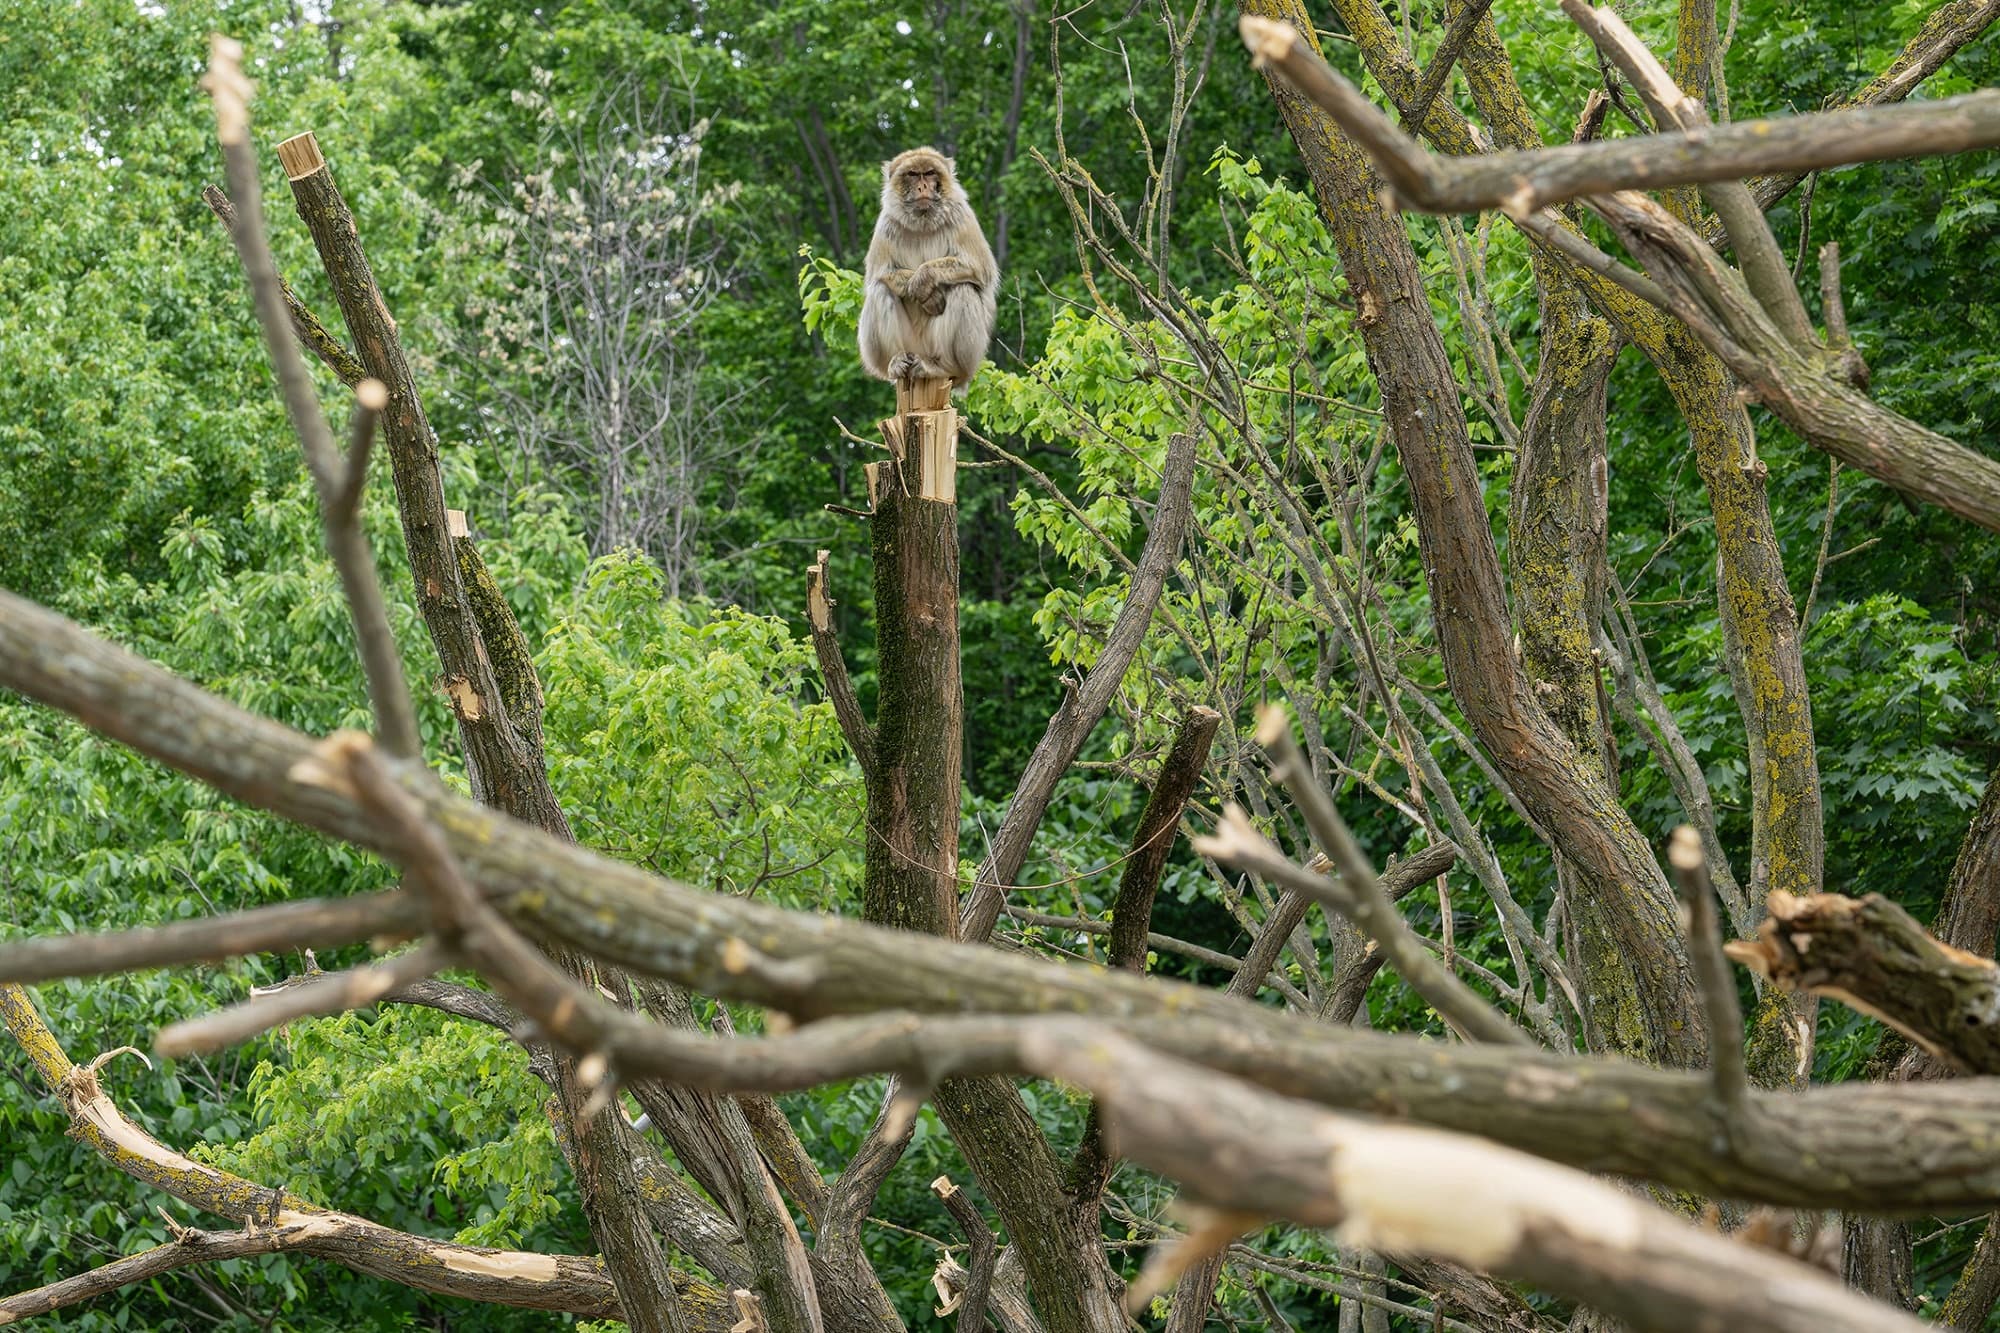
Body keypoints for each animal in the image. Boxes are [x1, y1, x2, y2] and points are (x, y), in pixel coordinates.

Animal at [858, 147, 998, 389]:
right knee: (880, 290)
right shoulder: (886, 222)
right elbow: (880, 274)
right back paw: (896, 361)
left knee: (963, 289)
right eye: (913, 174)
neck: (923, 221)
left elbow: (980, 267)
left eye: (930, 173)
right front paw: (926, 293)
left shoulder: (961, 214)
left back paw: (942, 367)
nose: (923, 186)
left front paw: (922, 280)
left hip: (961, 357)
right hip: (908, 346)